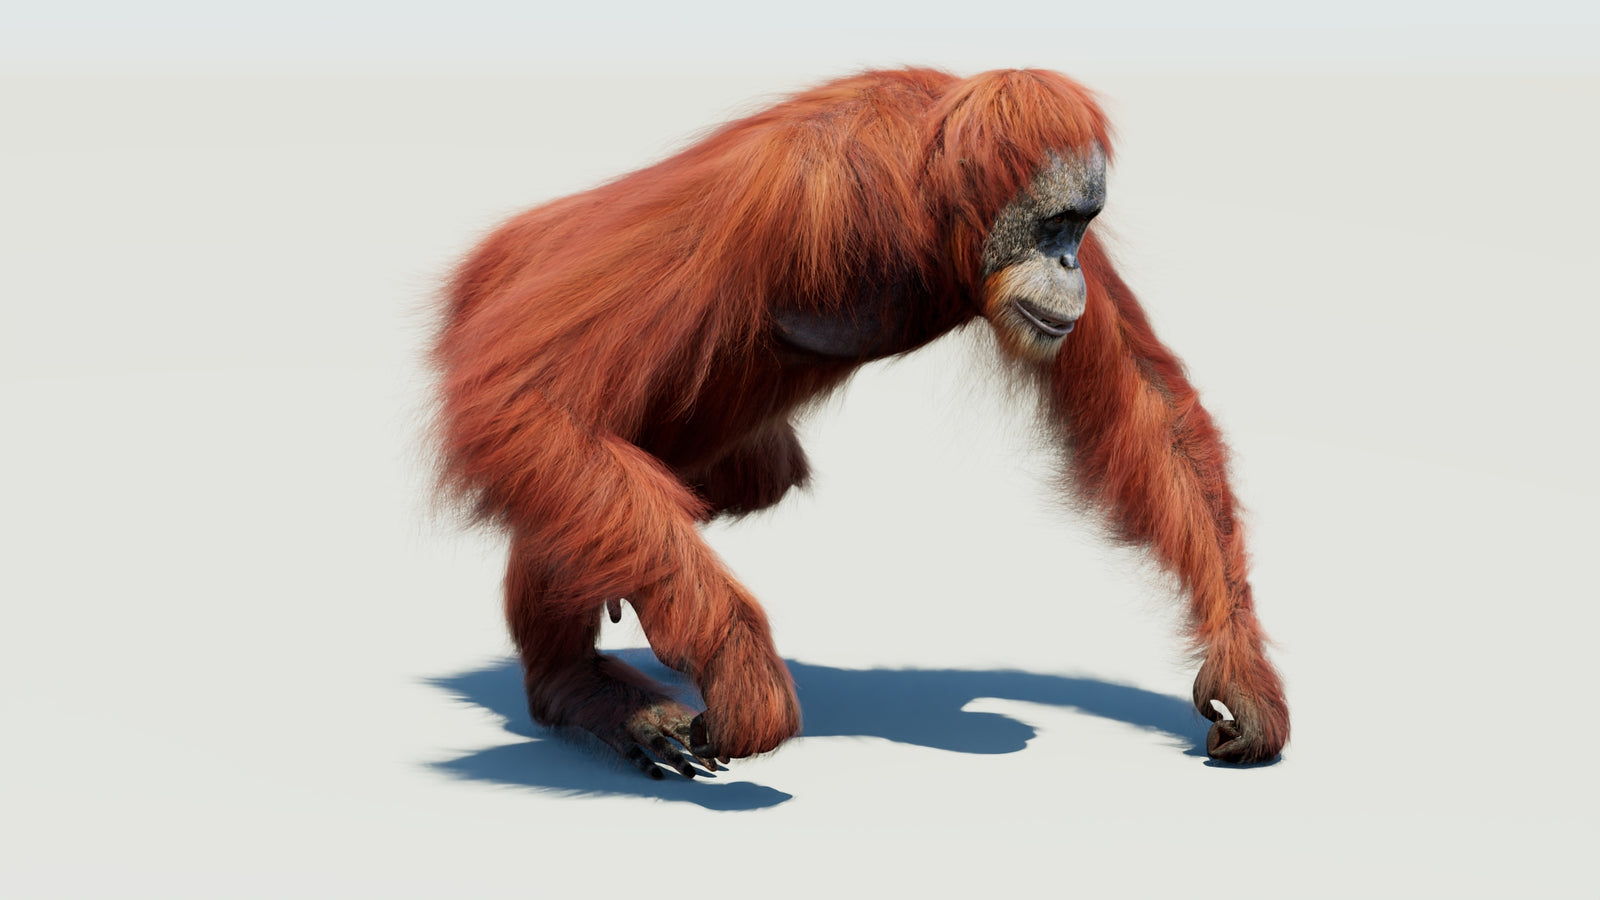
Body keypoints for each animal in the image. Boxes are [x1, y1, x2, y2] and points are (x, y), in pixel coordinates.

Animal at [433, 67, 1289, 778]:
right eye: (1053, 227)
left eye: (1082, 227)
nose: (1069, 261)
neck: (925, 207)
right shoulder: (789, 195)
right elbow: (531, 396)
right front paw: (740, 667)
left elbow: (1149, 405)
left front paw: (1243, 672)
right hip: (509, 284)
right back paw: (580, 684)